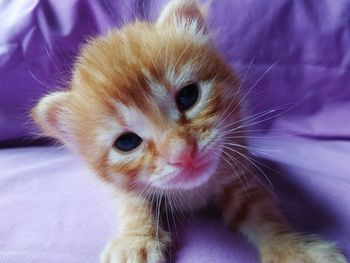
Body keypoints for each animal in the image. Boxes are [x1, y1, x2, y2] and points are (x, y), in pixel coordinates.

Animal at [32, 1, 348, 262]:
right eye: (127, 142)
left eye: (188, 97)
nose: (183, 153)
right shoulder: (119, 185)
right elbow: (132, 203)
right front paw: (135, 241)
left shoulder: (237, 172)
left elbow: (262, 212)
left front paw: (291, 248)